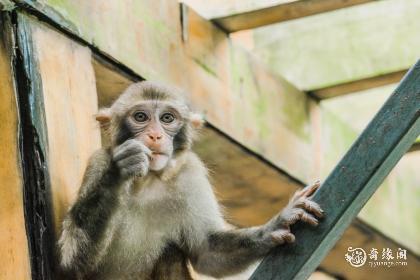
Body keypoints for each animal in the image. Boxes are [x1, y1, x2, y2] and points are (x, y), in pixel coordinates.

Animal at [57, 81, 324, 280]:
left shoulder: (191, 173)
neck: (148, 181)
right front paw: (120, 169)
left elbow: (207, 251)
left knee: (171, 252)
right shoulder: (98, 162)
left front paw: (278, 224)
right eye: (141, 117)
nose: (155, 135)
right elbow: (73, 263)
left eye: (167, 118)